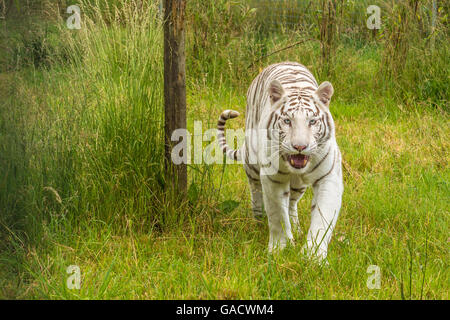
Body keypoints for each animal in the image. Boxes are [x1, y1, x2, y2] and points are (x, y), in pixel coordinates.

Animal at [216, 61, 342, 262]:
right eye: (287, 121)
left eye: (312, 121)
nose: (300, 146)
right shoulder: (273, 178)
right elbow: (277, 214)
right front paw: (280, 249)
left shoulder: (329, 177)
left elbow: (322, 218)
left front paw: (313, 257)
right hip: (252, 163)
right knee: (255, 190)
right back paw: (258, 220)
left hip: (298, 185)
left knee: (292, 203)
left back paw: (296, 228)